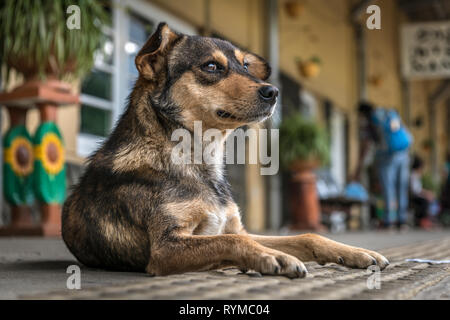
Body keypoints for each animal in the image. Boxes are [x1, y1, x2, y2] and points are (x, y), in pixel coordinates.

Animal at [61, 21, 388, 278]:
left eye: (245, 66)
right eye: (211, 66)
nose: (273, 92)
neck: (198, 160)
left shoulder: (234, 227)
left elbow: (307, 235)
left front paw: (355, 252)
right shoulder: (165, 248)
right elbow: (232, 243)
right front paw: (274, 257)